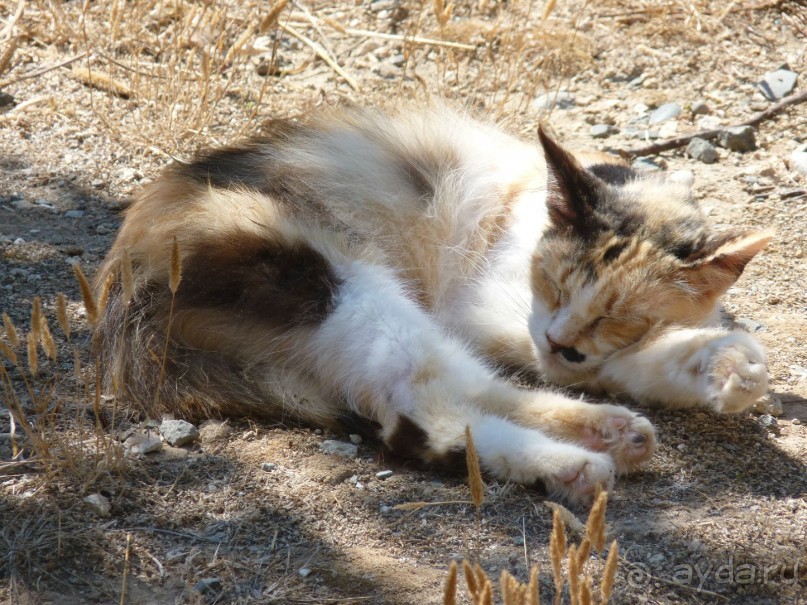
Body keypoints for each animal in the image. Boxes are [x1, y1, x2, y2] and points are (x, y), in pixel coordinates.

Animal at [94, 104, 772, 500]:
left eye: (622, 314)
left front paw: (727, 367)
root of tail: (126, 307)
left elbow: (633, 354)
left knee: (437, 410)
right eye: (552, 282)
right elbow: (599, 362)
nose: (560, 341)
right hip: (345, 282)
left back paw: (608, 436)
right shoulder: (486, 309)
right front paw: (718, 360)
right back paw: (578, 464)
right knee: (424, 398)